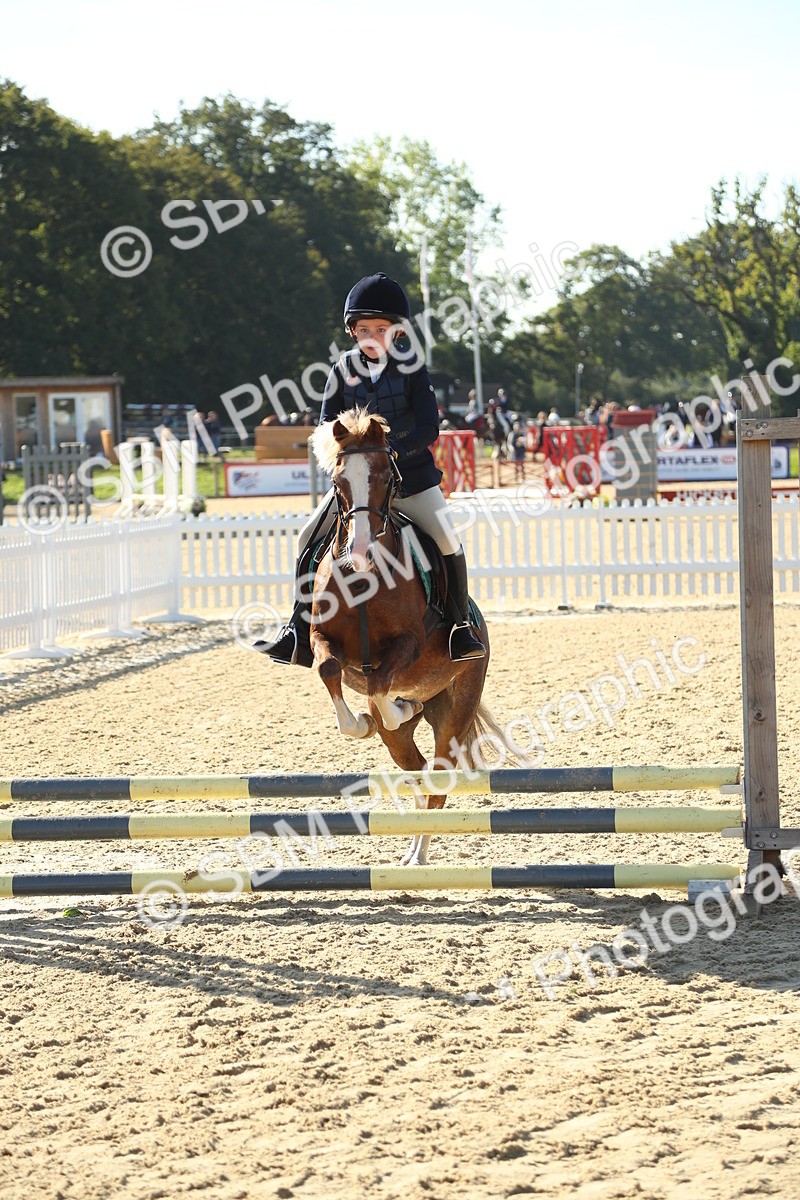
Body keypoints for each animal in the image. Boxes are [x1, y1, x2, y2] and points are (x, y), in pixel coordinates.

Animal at [308, 408, 498, 866]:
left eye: (386, 477)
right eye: (338, 482)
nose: (358, 553)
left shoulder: (407, 644)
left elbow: (379, 682)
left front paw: (399, 705)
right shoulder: (321, 637)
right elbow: (330, 669)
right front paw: (362, 721)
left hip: (457, 708)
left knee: (437, 779)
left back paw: (419, 857)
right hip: (406, 738)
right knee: (418, 772)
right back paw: (412, 852)